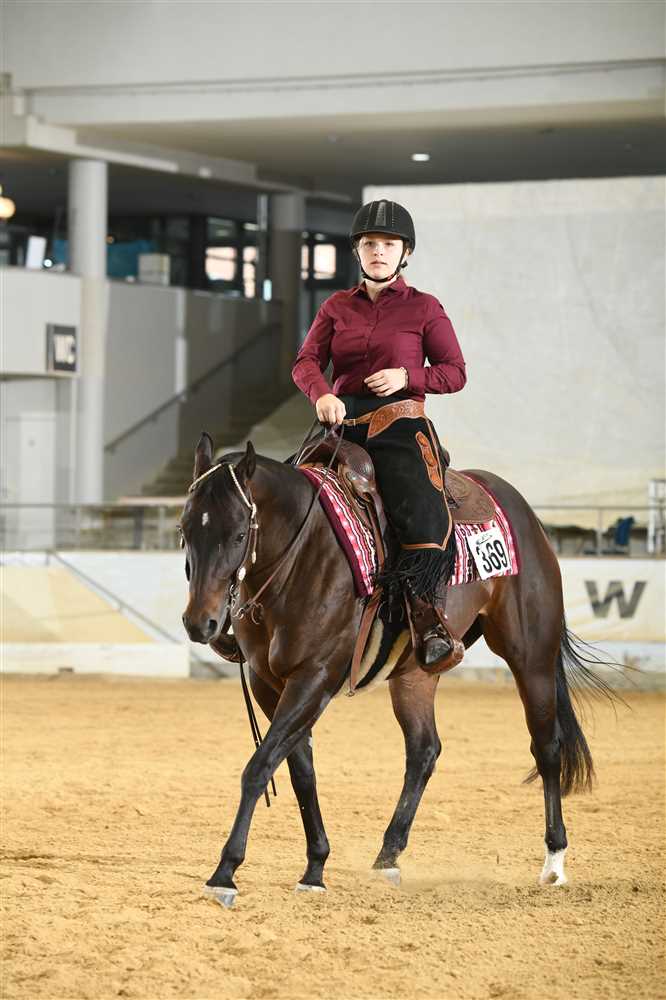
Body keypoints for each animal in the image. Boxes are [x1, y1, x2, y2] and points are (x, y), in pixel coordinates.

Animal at [180, 431, 609, 907]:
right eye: (185, 530)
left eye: (239, 533)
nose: (201, 623)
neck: (302, 558)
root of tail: (525, 514)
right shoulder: (267, 683)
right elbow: (298, 770)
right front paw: (315, 867)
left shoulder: (314, 677)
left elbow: (258, 768)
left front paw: (225, 872)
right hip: (415, 674)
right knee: (423, 751)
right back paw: (388, 856)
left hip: (531, 657)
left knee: (547, 747)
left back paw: (554, 862)